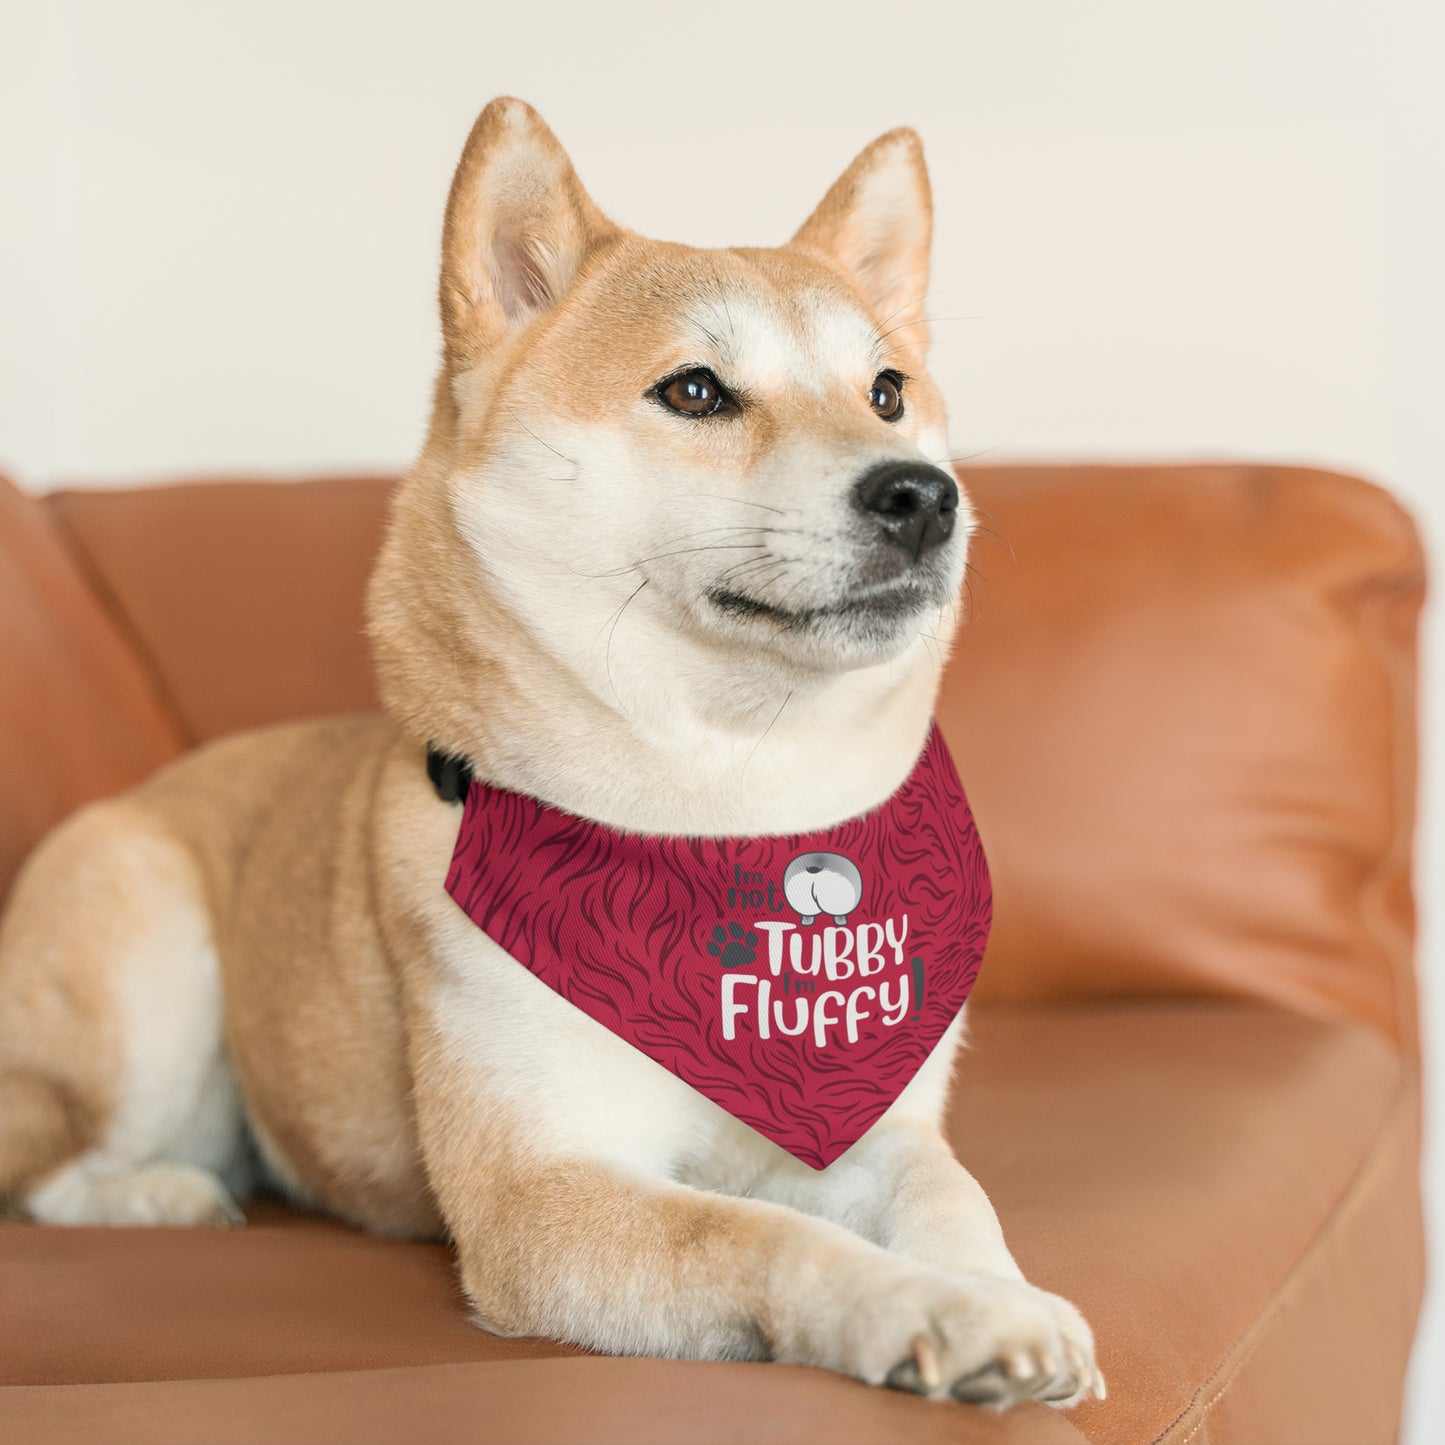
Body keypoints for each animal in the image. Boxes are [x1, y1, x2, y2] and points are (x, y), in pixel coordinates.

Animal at [0, 96, 1098, 1404]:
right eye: (694, 390)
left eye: (886, 390)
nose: (923, 495)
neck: (725, 814)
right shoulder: (539, 1193)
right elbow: (765, 1234)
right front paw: (929, 1308)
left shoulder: (872, 1115)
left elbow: (948, 1192)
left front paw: (1002, 1292)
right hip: (145, 964)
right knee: (48, 1166)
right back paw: (162, 1192)